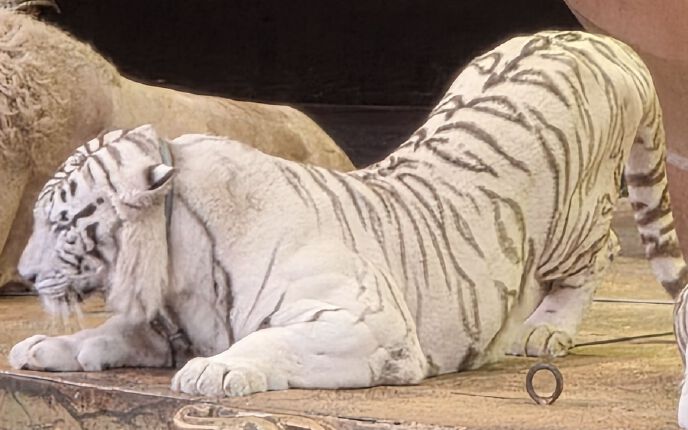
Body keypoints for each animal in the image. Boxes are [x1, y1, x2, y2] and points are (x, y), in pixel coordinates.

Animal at [9, 30, 688, 425]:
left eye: (63, 222)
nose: (23, 274)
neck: (181, 267)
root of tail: (597, 40)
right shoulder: (169, 325)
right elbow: (111, 334)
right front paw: (44, 347)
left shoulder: (368, 326)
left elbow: (270, 341)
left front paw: (215, 371)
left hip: (571, 220)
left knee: (601, 251)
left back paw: (546, 330)